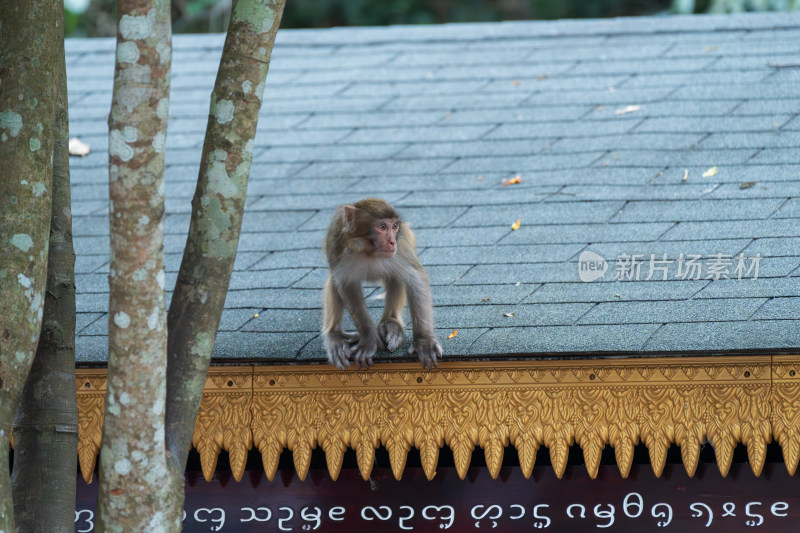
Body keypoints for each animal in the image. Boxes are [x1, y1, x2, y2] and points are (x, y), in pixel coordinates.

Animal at [320, 196, 444, 370]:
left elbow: (416, 278)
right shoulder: (339, 247)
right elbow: (346, 284)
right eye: (383, 226)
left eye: (394, 226)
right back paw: (334, 335)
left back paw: (391, 323)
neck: (369, 250)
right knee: (334, 281)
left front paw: (424, 341)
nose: (392, 242)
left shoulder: (400, 249)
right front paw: (368, 339)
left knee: (396, 276)